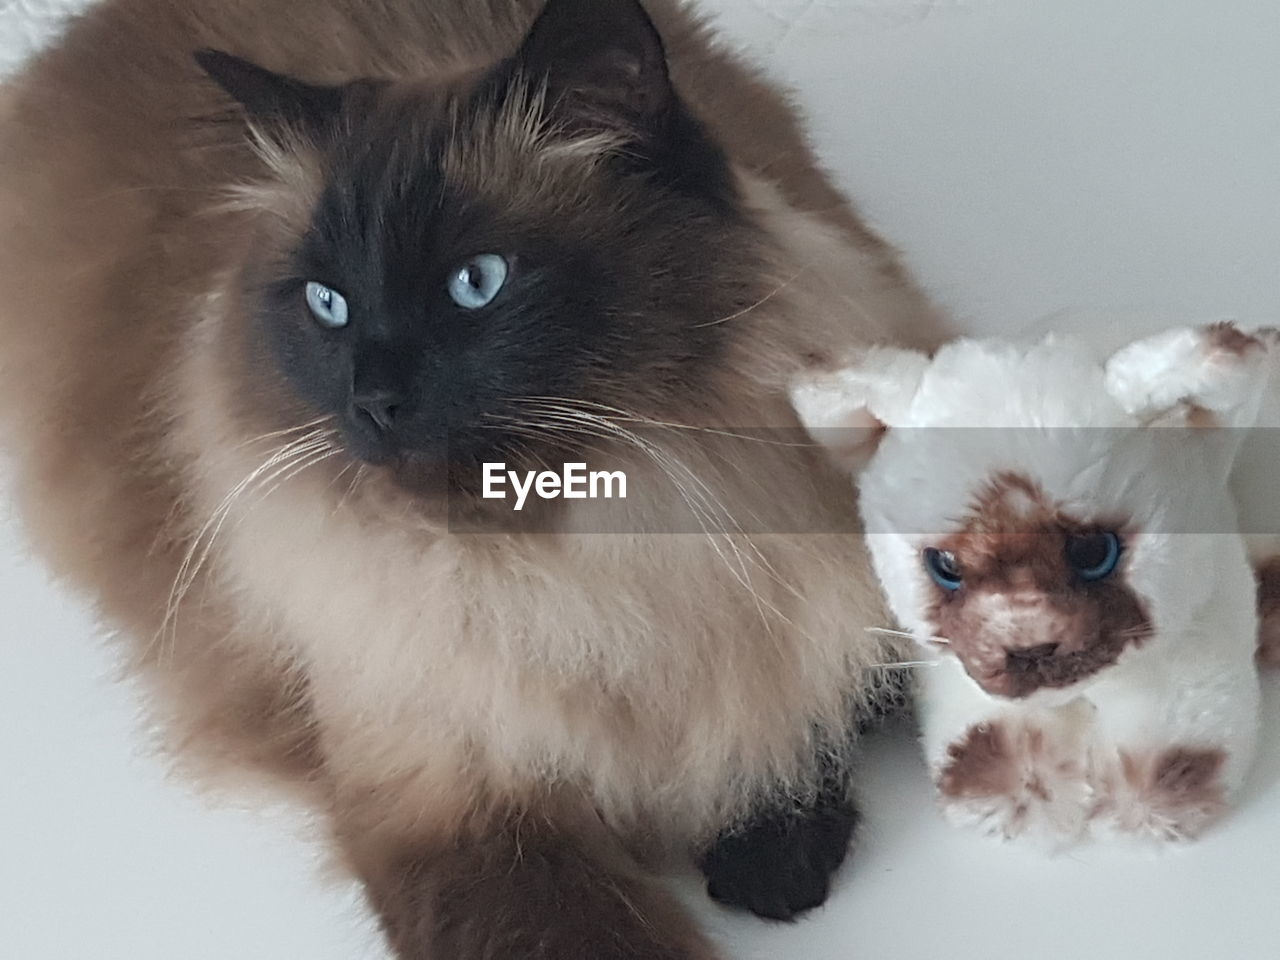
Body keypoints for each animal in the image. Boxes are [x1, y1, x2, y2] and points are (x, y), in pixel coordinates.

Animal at [0, 1, 942, 960]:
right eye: (328, 304)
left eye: (475, 284)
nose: (373, 401)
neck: (594, 565)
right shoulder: (462, 807)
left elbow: (828, 714)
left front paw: (776, 868)